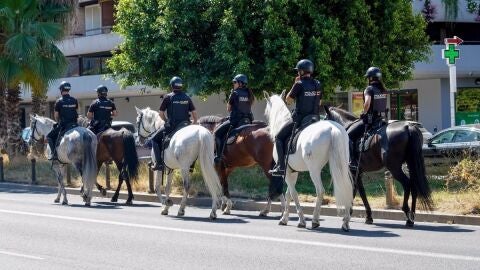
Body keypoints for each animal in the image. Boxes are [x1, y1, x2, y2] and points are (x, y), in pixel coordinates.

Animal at [262, 92, 352, 230]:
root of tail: (333, 129)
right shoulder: (293, 172)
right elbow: (288, 194)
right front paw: (285, 218)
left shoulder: (286, 172)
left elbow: (293, 193)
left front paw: (301, 220)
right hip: (342, 165)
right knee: (346, 187)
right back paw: (345, 221)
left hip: (314, 170)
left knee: (320, 191)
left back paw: (315, 220)